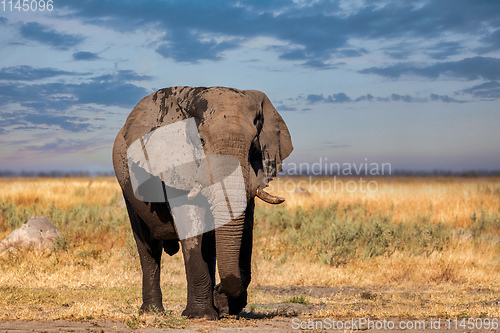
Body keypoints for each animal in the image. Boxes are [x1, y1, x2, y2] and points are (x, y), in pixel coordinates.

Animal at [112, 86, 292, 320]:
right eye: (201, 142)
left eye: (254, 145)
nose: (219, 290)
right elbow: (191, 224)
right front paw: (201, 315)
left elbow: (245, 231)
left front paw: (222, 305)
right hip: (128, 186)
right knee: (147, 246)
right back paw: (152, 312)